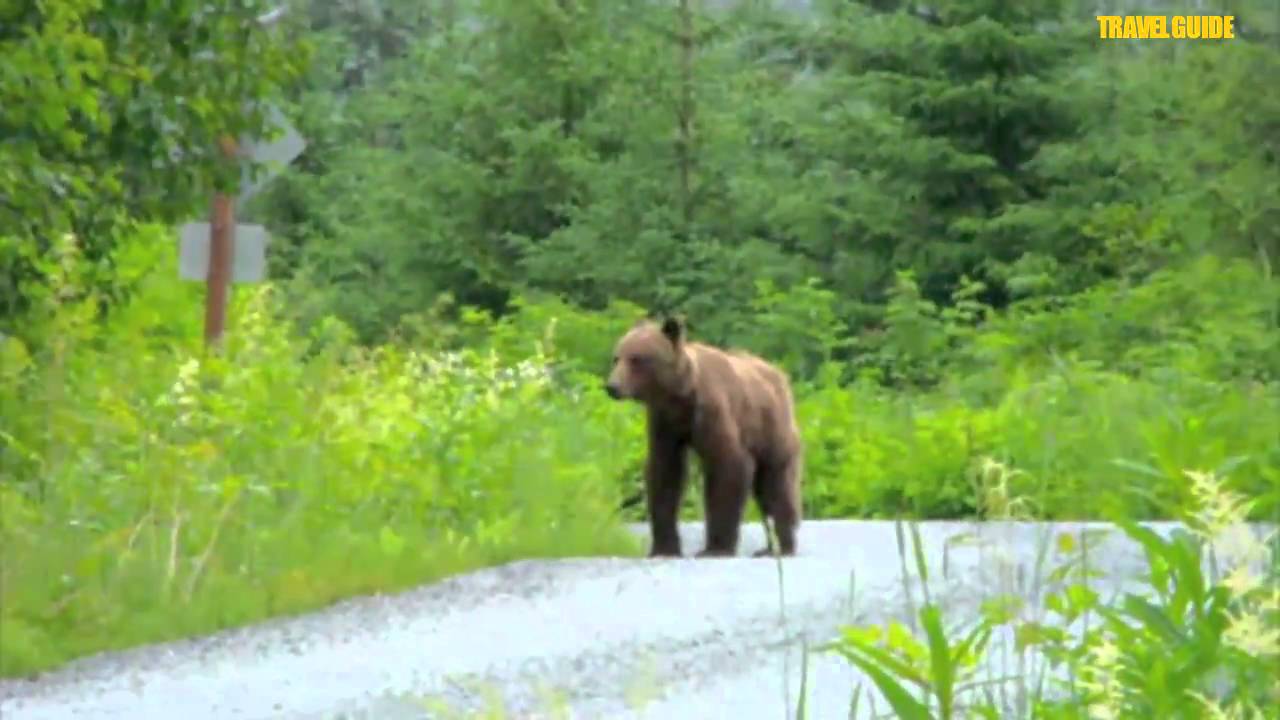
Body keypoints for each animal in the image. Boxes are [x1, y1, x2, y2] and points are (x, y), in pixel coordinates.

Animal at [604, 316, 803, 558]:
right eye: (616, 358)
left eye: (636, 359)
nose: (612, 386)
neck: (680, 396)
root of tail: (780, 375)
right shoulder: (664, 423)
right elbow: (664, 473)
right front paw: (664, 548)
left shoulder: (711, 412)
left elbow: (729, 465)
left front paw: (716, 547)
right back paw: (768, 548)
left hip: (772, 432)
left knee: (777, 486)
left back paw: (783, 545)